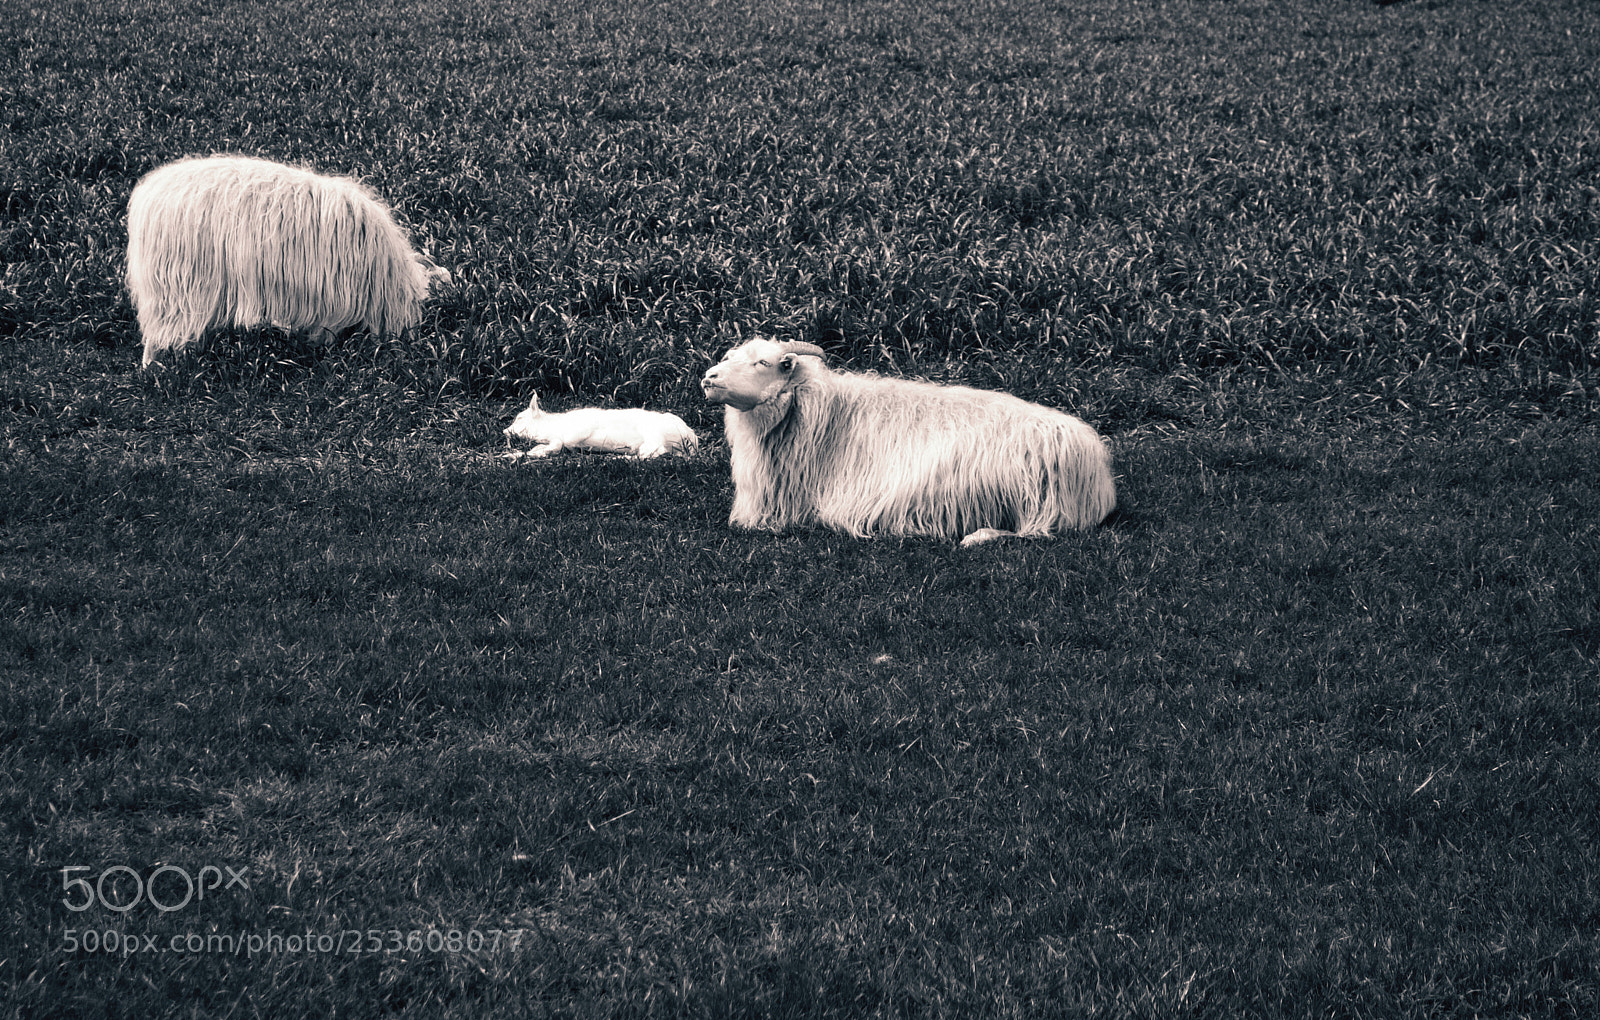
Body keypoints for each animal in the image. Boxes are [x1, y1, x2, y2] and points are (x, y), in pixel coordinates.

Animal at [125, 154, 450, 367]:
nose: (409, 346)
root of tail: (148, 195)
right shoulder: (334, 299)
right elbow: (326, 331)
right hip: (176, 286)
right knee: (159, 334)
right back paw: (157, 368)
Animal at [502, 394, 699, 460]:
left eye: (519, 418)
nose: (504, 430)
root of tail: (692, 438)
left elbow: (561, 443)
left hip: (653, 434)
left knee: (653, 453)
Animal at [700, 338, 1116, 545]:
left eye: (764, 363)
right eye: (730, 356)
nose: (709, 377)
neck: (831, 416)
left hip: (1037, 498)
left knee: (1032, 533)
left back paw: (973, 536)